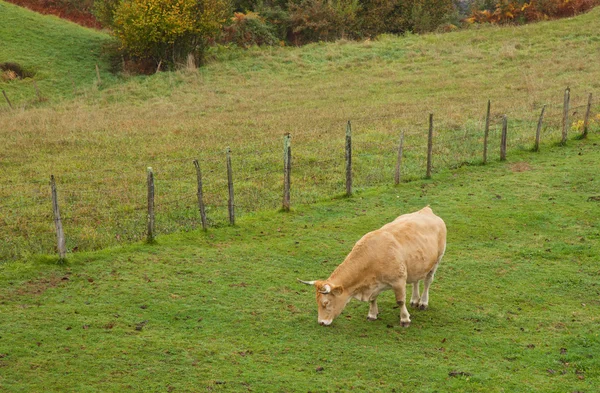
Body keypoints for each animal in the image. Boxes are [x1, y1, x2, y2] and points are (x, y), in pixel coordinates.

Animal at [298, 207, 446, 326]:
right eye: (317, 302)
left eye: (326, 303)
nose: (321, 322)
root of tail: (426, 210)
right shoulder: (372, 283)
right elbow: (373, 299)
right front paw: (372, 314)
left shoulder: (398, 281)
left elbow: (400, 301)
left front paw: (405, 319)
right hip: (417, 265)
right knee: (416, 281)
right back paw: (415, 300)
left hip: (437, 260)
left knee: (427, 281)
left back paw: (423, 302)